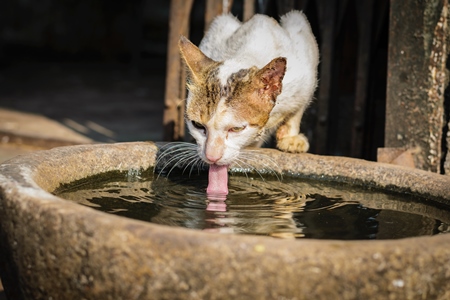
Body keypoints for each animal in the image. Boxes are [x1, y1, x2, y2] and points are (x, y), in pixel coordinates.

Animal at [178, 10, 318, 195]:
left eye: (236, 129)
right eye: (198, 125)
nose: (212, 156)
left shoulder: (306, 73)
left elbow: (298, 109)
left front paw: (290, 137)